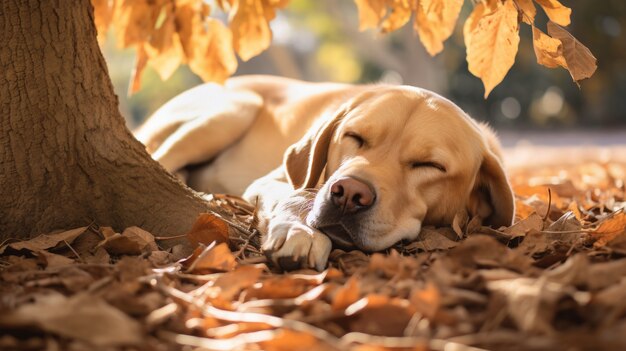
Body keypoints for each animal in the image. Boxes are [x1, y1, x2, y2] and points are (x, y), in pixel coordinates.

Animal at [136, 75, 512, 270]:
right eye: (355, 136)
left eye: (429, 165)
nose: (349, 194)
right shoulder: (271, 180)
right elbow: (298, 194)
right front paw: (300, 232)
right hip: (232, 110)